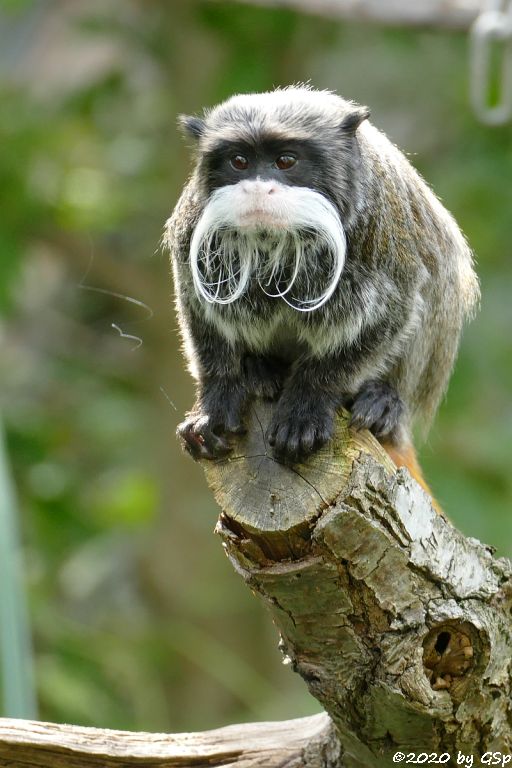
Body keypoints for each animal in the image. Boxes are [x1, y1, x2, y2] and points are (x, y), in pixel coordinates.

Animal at [165, 85, 480, 498]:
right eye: (239, 162)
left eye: (285, 161)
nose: (257, 188)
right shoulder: (193, 232)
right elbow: (200, 312)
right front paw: (217, 399)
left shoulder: (379, 233)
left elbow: (394, 309)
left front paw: (308, 404)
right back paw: (259, 370)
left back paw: (384, 403)